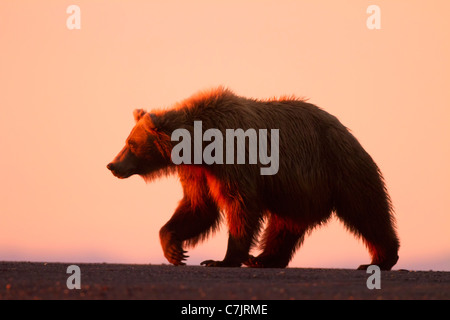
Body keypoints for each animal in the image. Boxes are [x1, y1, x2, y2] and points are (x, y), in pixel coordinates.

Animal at [107, 87, 400, 270]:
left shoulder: (233, 158)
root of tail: (344, 128)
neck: (199, 145)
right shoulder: (198, 171)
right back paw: (264, 258)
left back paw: (380, 259)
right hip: (297, 188)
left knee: (366, 209)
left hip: (338, 164)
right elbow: (198, 206)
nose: (112, 165)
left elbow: (240, 204)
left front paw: (222, 259)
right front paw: (174, 249)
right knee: (286, 224)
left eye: (130, 143)